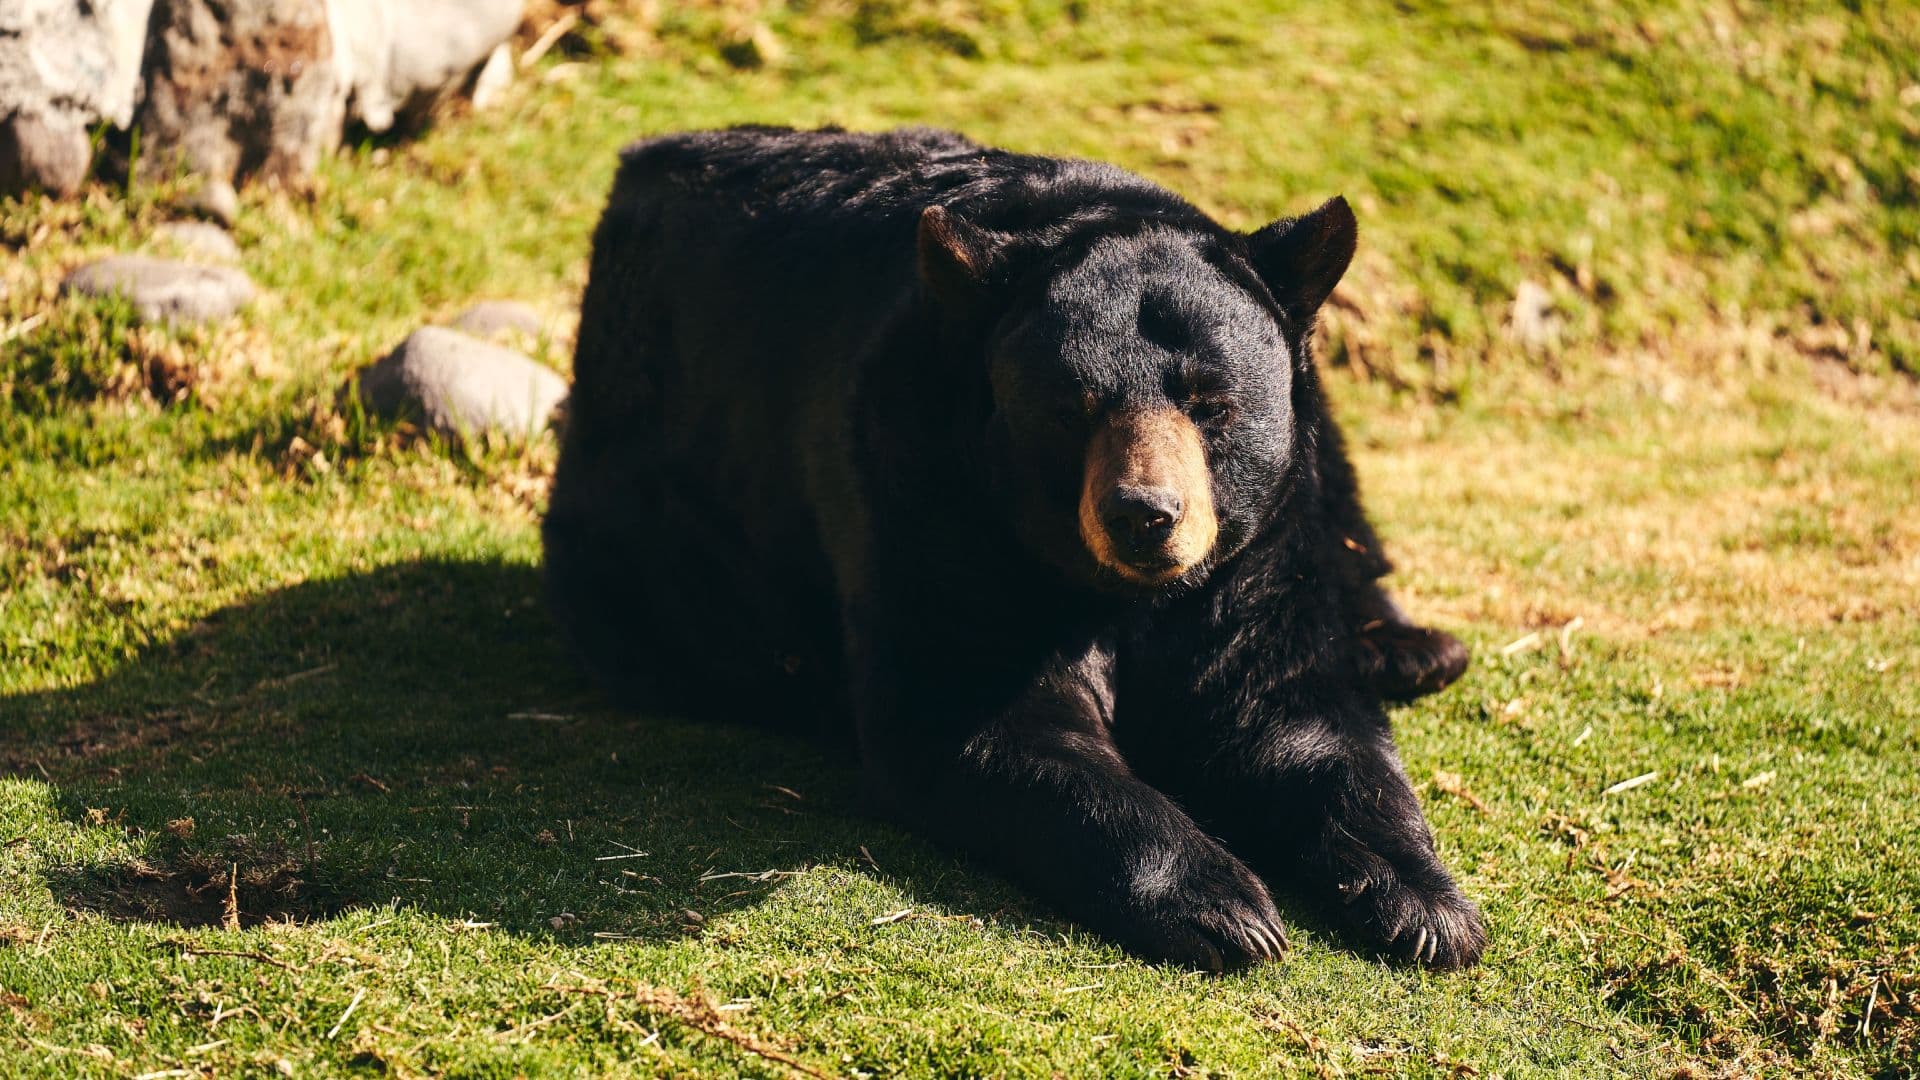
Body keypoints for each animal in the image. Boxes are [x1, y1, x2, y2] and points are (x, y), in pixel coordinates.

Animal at [543, 126, 1481, 971]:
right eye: (1072, 409)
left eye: (1211, 402)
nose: (1146, 514)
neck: (1115, 591)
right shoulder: (928, 497)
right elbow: (979, 718)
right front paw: (1224, 905)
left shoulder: (1252, 554)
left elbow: (1288, 708)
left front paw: (1427, 904)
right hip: (641, 511)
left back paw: (1410, 648)